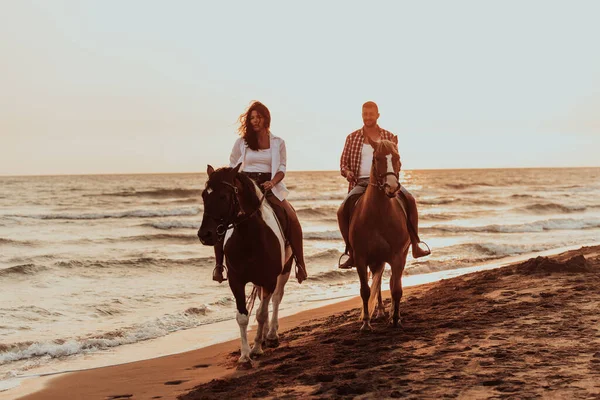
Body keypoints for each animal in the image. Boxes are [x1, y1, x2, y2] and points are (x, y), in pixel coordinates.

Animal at [199, 164, 292, 364]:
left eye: (223, 196)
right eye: (204, 195)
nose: (204, 235)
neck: (250, 237)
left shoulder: (269, 279)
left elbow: (261, 314)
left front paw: (256, 349)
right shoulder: (236, 280)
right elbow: (243, 316)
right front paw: (244, 355)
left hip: (284, 271)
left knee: (276, 298)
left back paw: (271, 335)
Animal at [350, 139, 410, 330]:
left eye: (397, 157)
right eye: (376, 158)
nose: (392, 187)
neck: (378, 213)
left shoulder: (397, 256)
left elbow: (396, 289)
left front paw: (396, 319)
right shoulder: (361, 258)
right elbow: (366, 291)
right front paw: (366, 323)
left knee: (392, 282)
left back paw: (391, 314)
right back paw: (381, 312)